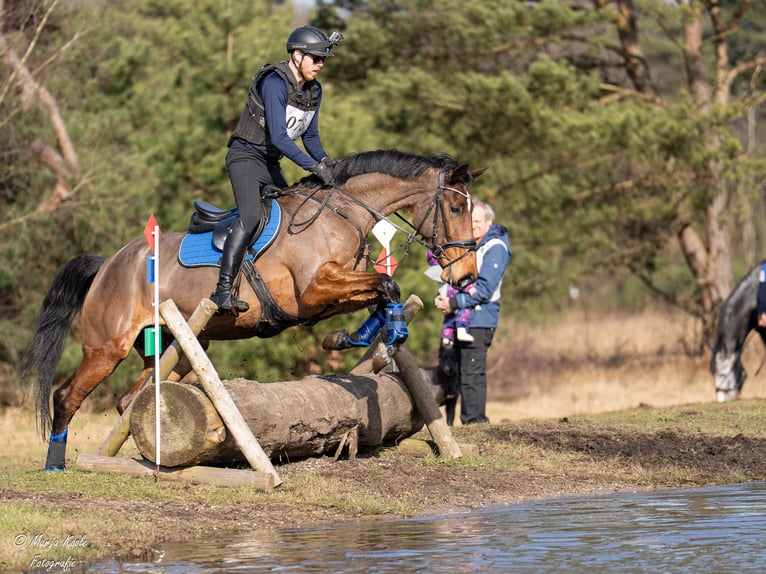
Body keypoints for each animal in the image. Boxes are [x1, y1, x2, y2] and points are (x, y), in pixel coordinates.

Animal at [21, 151, 486, 470]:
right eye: (455, 208)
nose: (466, 278)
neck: (341, 213)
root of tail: (109, 263)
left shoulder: (333, 292)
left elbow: (382, 292)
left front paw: (352, 338)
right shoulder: (314, 291)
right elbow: (387, 285)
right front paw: (377, 337)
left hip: (178, 347)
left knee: (132, 399)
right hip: (108, 347)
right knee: (66, 396)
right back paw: (54, 464)